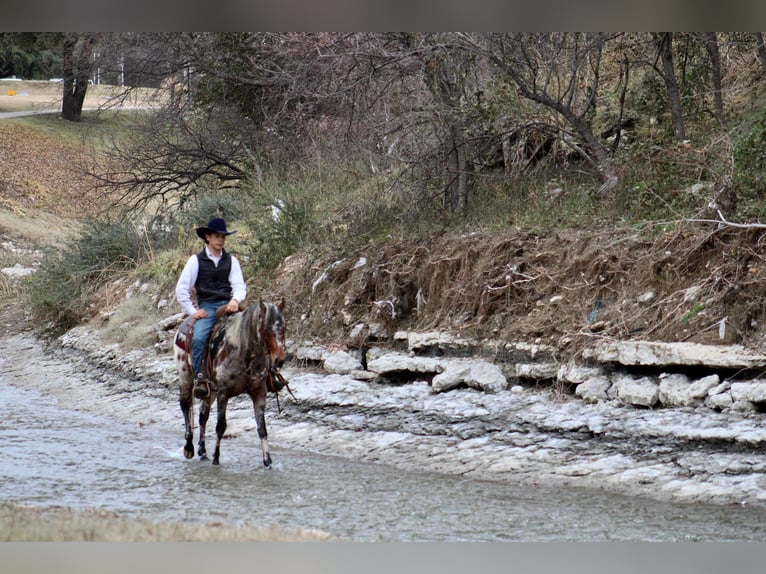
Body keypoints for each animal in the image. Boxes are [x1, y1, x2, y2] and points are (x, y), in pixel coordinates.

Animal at [174, 302, 288, 468]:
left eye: (284, 327)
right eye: (267, 329)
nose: (280, 360)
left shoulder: (259, 392)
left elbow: (262, 428)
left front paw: (268, 461)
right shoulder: (224, 393)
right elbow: (221, 426)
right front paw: (216, 458)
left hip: (210, 390)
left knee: (203, 415)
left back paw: (203, 452)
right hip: (185, 378)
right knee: (185, 406)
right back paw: (189, 447)